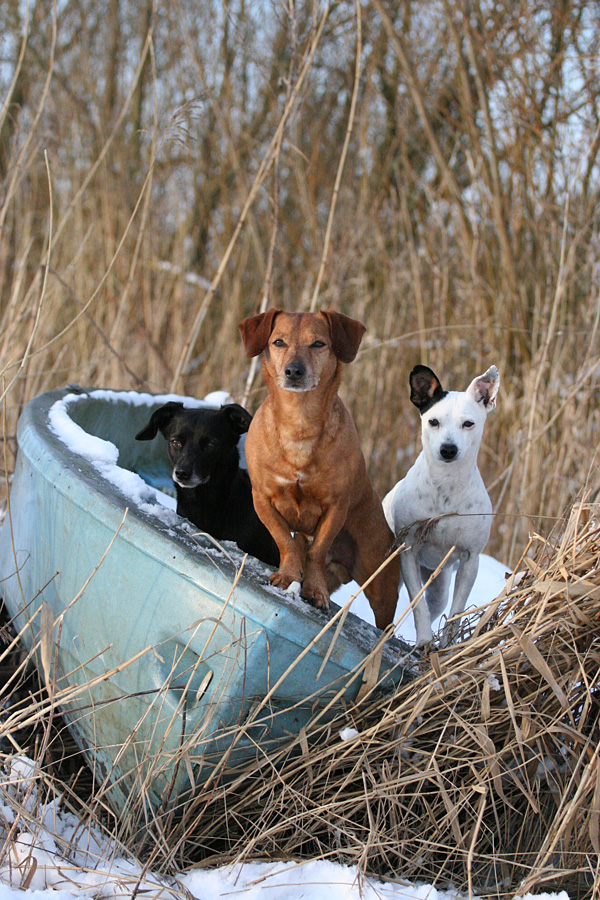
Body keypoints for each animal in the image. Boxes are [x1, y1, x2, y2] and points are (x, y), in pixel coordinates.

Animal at [237, 312, 400, 628]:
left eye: (318, 344)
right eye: (278, 342)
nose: (293, 371)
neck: (299, 421)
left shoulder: (335, 507)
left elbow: (317, 549)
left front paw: (315, 590)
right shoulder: (261, 498)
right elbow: (284, 541)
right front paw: (288, 576)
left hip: (381, 586)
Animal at [384, 362, 502, 644]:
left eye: (468, 423)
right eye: (433, 421)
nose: (448, 449)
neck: (445, 488)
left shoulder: (470, 560)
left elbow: (457, 611)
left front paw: (447, 644)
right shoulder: (408, 550)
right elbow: (418, 606)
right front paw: (425, 640)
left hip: (438, 586)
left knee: (437, 604)